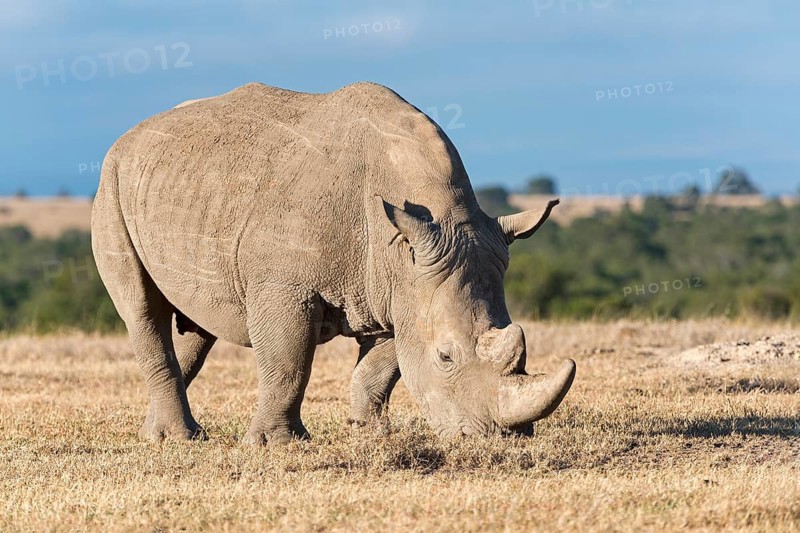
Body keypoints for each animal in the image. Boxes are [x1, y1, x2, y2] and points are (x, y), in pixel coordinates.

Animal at [91, 81, 575, 443]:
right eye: (445, 357)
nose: (502, 438)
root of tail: (131, 135)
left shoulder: (399, 286)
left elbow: (380, 368)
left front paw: (370, 433)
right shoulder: (286, 288)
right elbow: (288, 363)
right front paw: (277, 445)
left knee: (196, 323)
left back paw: (163, 436)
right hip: (110, 185)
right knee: (142, 309)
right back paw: (180, 438)